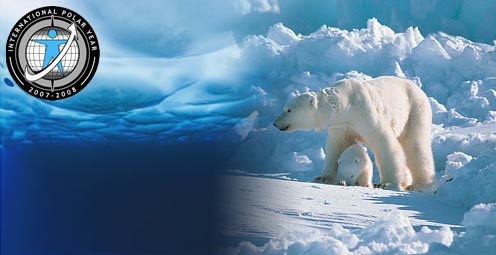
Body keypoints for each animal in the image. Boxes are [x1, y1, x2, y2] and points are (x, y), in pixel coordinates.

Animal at [276, 76, 434, 190]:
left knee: (415, 146)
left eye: (289, 110)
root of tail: (419, 89)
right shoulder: (342, 125)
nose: (275, 123)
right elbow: (337, 147)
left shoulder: (365, 114)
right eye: (285, 108)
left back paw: (420, 184)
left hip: (415, 111)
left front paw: (387, 183)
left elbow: (384, 143)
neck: (347, 104)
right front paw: (323, 178)